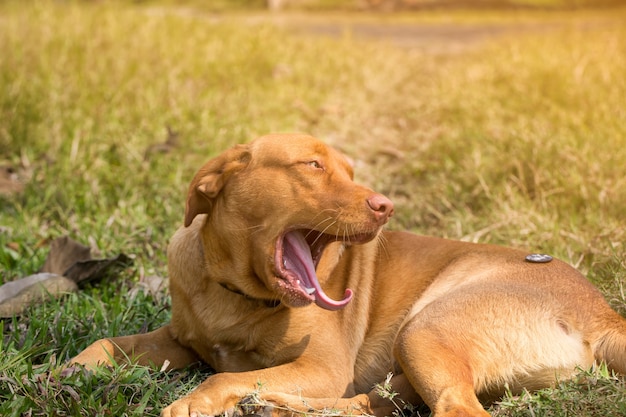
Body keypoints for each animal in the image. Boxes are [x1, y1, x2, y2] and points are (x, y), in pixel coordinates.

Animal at [74, 134, 626, 416]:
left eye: (351, 172)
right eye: (313, 165)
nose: (386, 206)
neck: (236, 293)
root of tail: (605, 316)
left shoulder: (323, 366)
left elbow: (225, 373)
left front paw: (193, 403)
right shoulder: (178, 339)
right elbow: (108, 344)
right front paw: (70, 371)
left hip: (422, 328)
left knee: (454, 408)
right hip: (412, 359)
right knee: (370, 404)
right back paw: (273, 405)